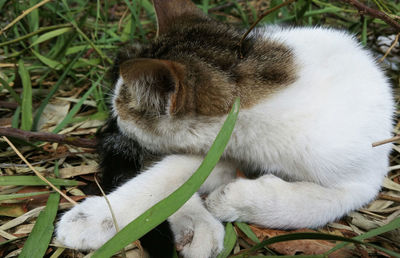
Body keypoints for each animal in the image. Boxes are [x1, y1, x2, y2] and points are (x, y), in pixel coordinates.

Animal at [54, 0, 396, 256]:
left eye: (120, 108)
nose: (114, 120)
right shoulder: (219, 150)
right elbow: (163, 177)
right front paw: (97, 217)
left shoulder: (364, 176)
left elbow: (317, 204)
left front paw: (235, 199)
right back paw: (196, 225)